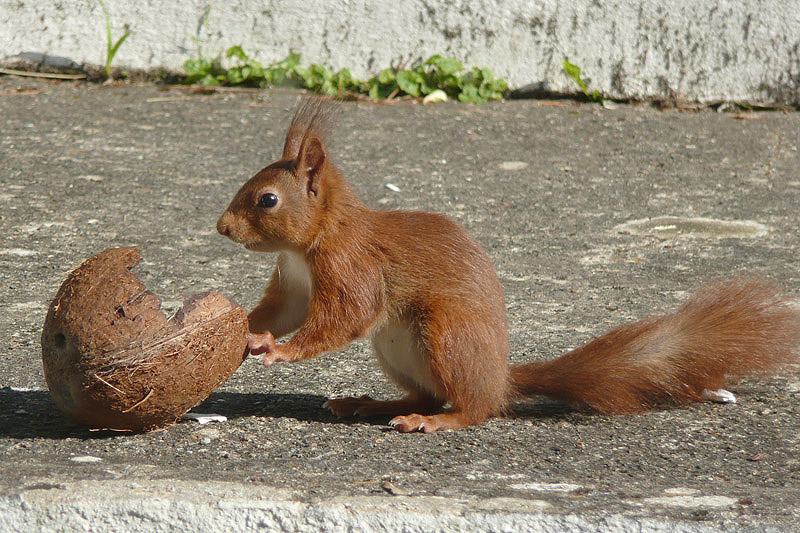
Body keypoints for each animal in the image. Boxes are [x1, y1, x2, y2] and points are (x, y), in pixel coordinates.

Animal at [216, 98, 800, 433]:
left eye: (267, 200)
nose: (221, 228)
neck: (314, 240)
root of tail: (500, 377)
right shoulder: (294, 282)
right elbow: (282, 311)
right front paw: (247, 330)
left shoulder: (353, 267)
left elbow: (343, 316)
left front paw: (280, 351)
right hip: (398, 352)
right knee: (427, 392)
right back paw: (372, 404)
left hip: (446, 333)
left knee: (472, 407)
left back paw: (436, 421)